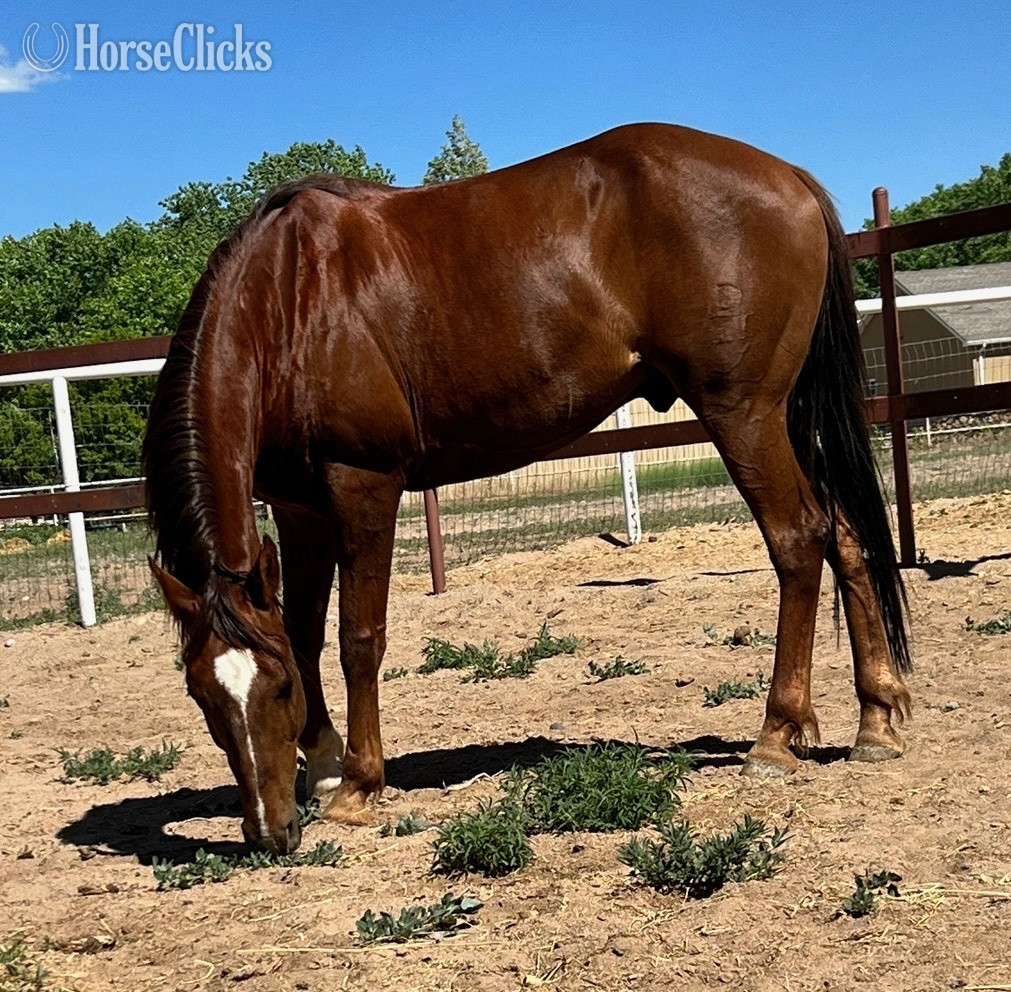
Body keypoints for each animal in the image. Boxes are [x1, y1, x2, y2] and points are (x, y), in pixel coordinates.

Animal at [143, 123, 912, 853]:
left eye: (274, 690)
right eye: (202, 695)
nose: (270, 832)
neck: (289, 301)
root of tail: (789, 177)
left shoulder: (363, 486)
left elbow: (357, 637)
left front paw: (358, 784)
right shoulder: (299, 509)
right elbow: (301, 632)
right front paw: (326, 764)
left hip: (743, 414)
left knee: (797, 539)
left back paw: (776, 736)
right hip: (784, 416)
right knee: (843, 534)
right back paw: (875, 720)